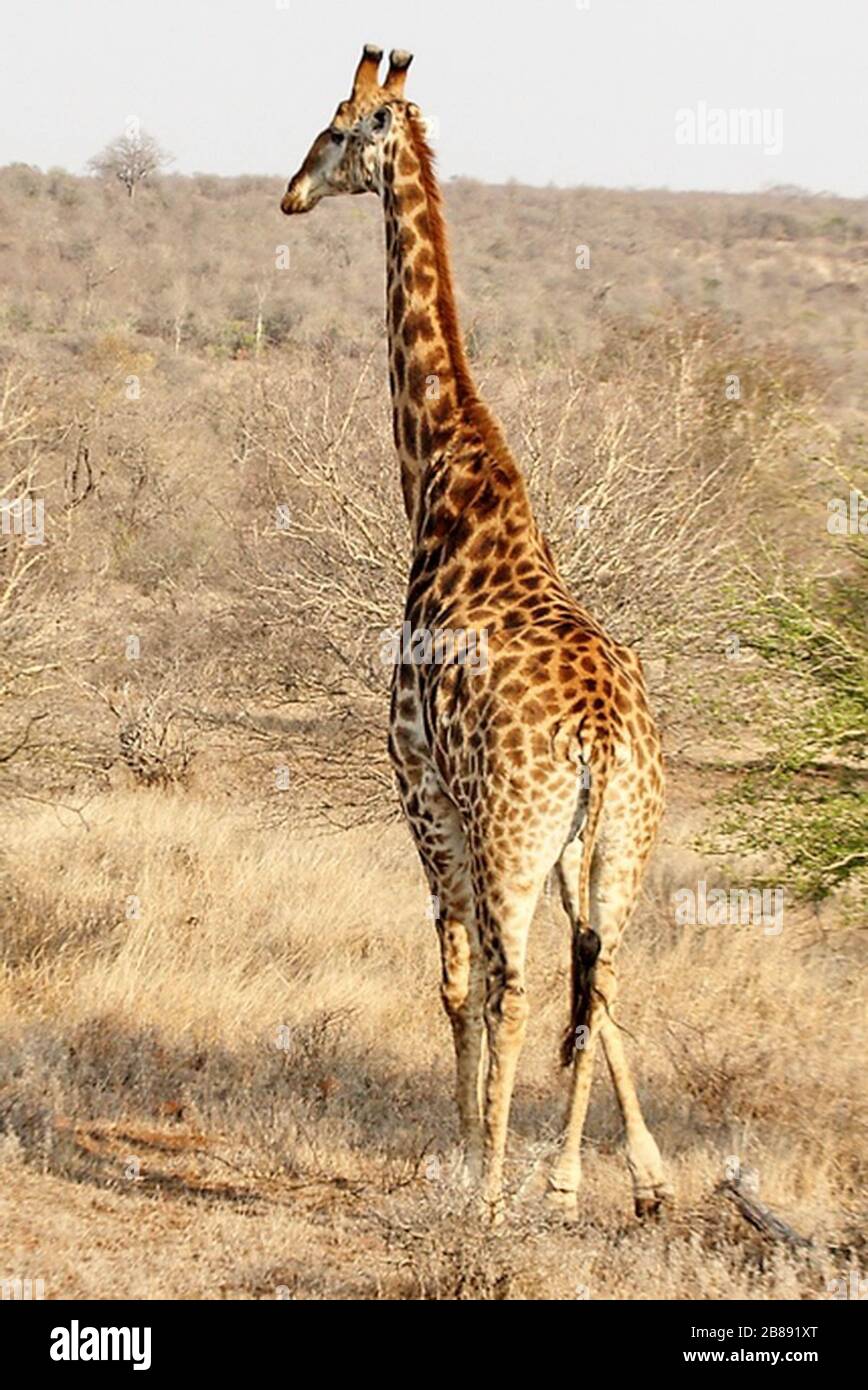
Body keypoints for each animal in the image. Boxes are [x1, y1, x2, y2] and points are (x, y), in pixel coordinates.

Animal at [281, 45, 671, 1220]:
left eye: (337, 126)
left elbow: (453, 985)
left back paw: (499, 1187)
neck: (445, 482)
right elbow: (588, 999)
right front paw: (640, 1173)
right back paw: (562, 1180)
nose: (291, 192)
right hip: (620, 838)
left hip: (511, 832)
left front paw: (464, 1156)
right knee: (602, 972)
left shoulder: (418, 784)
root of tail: (602, 738)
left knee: (516, 982)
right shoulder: (557, 840)